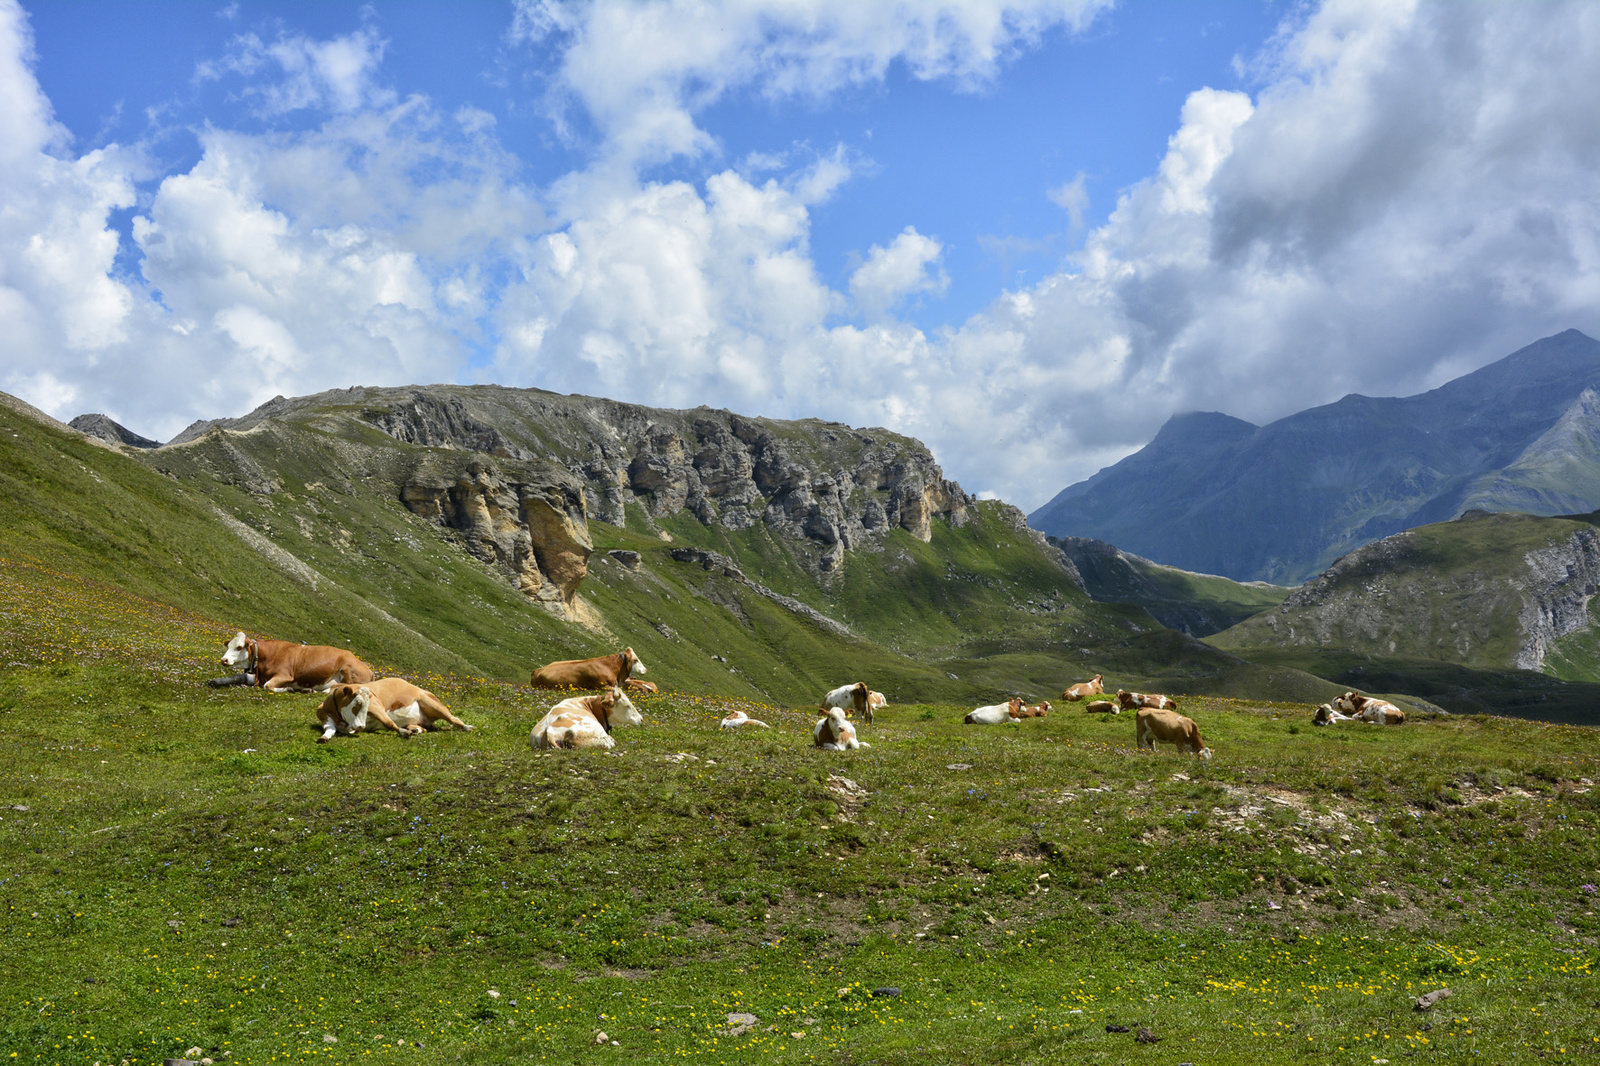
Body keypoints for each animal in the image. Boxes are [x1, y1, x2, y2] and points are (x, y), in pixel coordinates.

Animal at [219, 627, 374, 694]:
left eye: (239, 647)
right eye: (228, 645)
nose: (224, 660)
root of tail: (368, 669)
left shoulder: (285, 675)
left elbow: (267, 686)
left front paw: (287, 688)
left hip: (348, 670)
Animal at [315, 681, 470, 739]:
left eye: (367, 704)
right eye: (358, 702)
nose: (361, 727)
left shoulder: (377, 707)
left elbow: (389, 722)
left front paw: (403, 732)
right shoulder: (326, 719)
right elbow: (330, 729)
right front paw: (324, 738)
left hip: (431, 703)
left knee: (454, 719)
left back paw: (467, 727)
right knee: (425, 728)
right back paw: (415, 730)